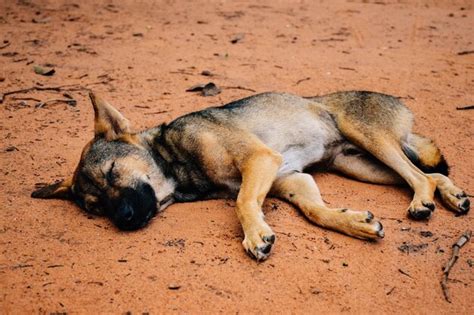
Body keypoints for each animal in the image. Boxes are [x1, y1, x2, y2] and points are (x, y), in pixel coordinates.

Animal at [31, 90, 468, 260]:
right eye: (94, 207)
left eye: (112, 171)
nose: (122, 219)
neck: (178, 162)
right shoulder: (292, 178)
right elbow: (316, 212)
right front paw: (356, 223)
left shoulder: (260, 159)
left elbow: (242, 202)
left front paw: (256, 234)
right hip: (359, 165)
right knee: (429, 174)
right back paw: (453, 196)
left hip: (372, 141)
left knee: (420, 177)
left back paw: (424, 202)